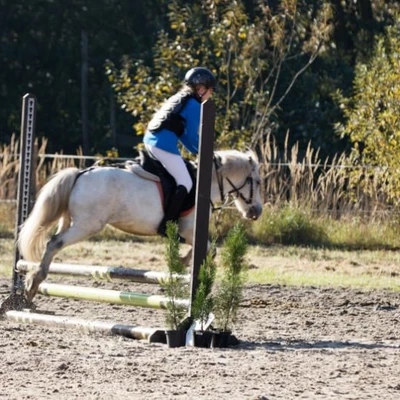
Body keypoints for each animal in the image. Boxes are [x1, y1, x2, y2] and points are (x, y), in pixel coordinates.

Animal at [18, 150, 262, 300]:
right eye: (257, 182)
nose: (256, 212)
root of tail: (80, 174)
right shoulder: (188, 230)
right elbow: (209, 250)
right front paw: (184, 264)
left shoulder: (189, 233)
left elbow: (203, 250)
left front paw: (182, 263)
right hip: (87, 226)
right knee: (54, 243)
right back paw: (34, 282)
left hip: (71, 221)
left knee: (54, 242)